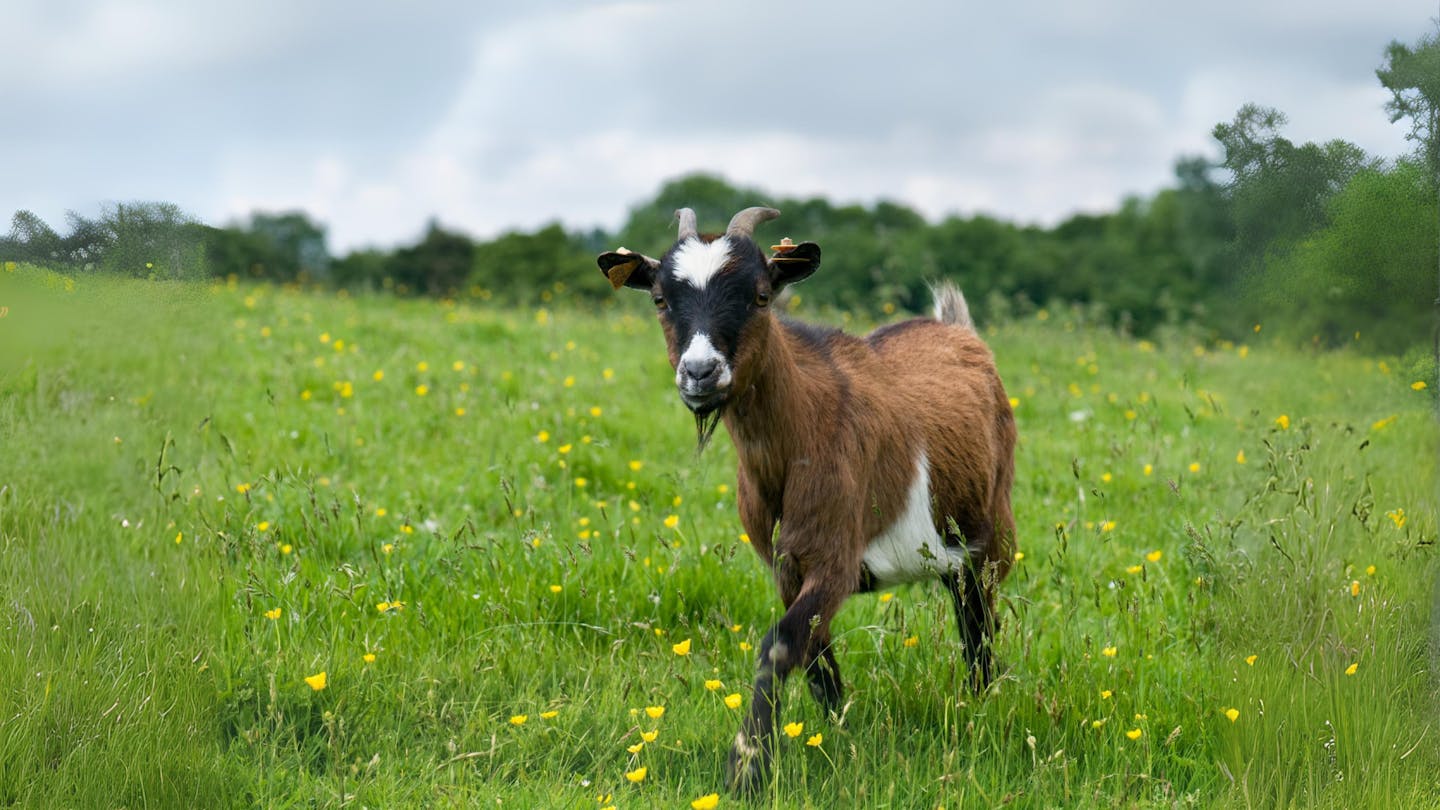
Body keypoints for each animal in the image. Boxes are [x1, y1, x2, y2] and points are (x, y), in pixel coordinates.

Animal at [593, 204, 1013, 789]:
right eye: (659, 298)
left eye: (761, 295)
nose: (700, 373)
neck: (799, 434)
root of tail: (957, 329)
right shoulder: (785, 566)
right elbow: (813, 652)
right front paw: (840, 734)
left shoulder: (835, 557)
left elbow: (779, 644)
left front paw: (746, 767)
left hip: (992, 536)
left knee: (978, 625)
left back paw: (979, 706)